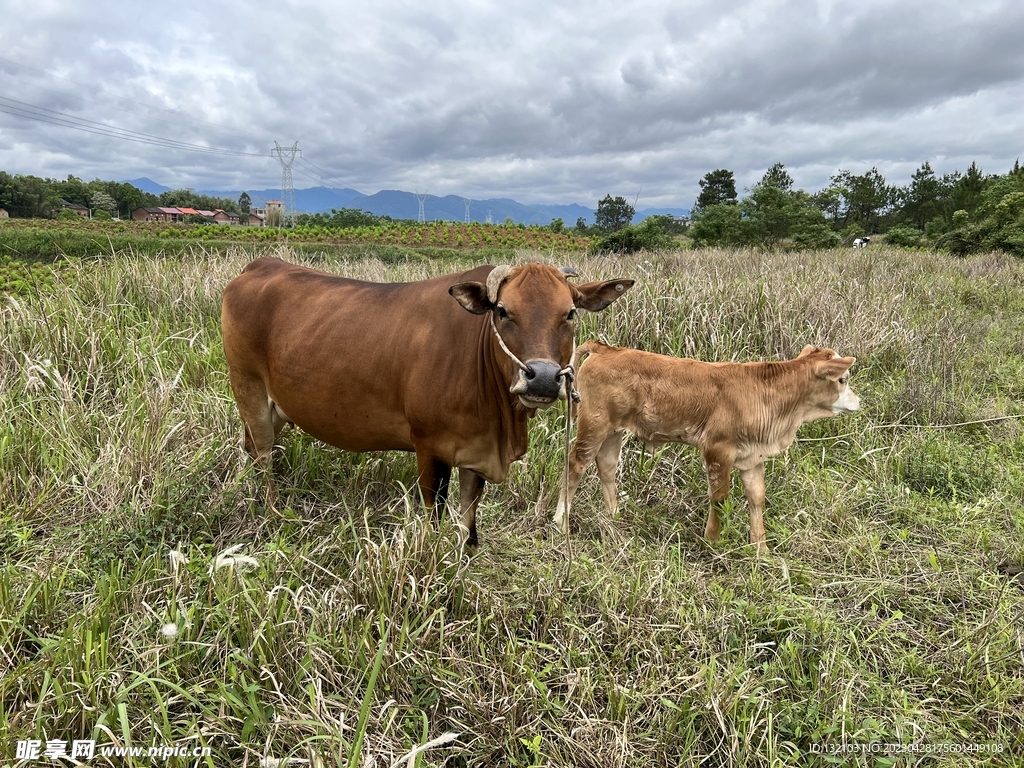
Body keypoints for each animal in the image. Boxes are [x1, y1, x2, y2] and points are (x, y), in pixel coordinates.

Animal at [222, 260, 630, 548]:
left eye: (570, 313)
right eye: (502, 311)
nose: (542, 377)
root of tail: (261, 264)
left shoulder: (476, 454)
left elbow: (468, 522)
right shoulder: (430, 449)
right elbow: (434, 516)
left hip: (275, 408)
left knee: (253, 448)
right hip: (249, 391)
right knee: (262, 455)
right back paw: (273, 511)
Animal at [557, 344, 860, 552]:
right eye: (842, 379)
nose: (858, 401)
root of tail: (606, 348)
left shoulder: (752, 457)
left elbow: (757, 497)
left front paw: (760, 548)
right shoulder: (718, 449)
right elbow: (720, 497)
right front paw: (712, 540)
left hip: (614, 430)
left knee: (607, 466)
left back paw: (614, 518)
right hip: (594, 424)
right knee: (575, 464)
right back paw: (560, 522)